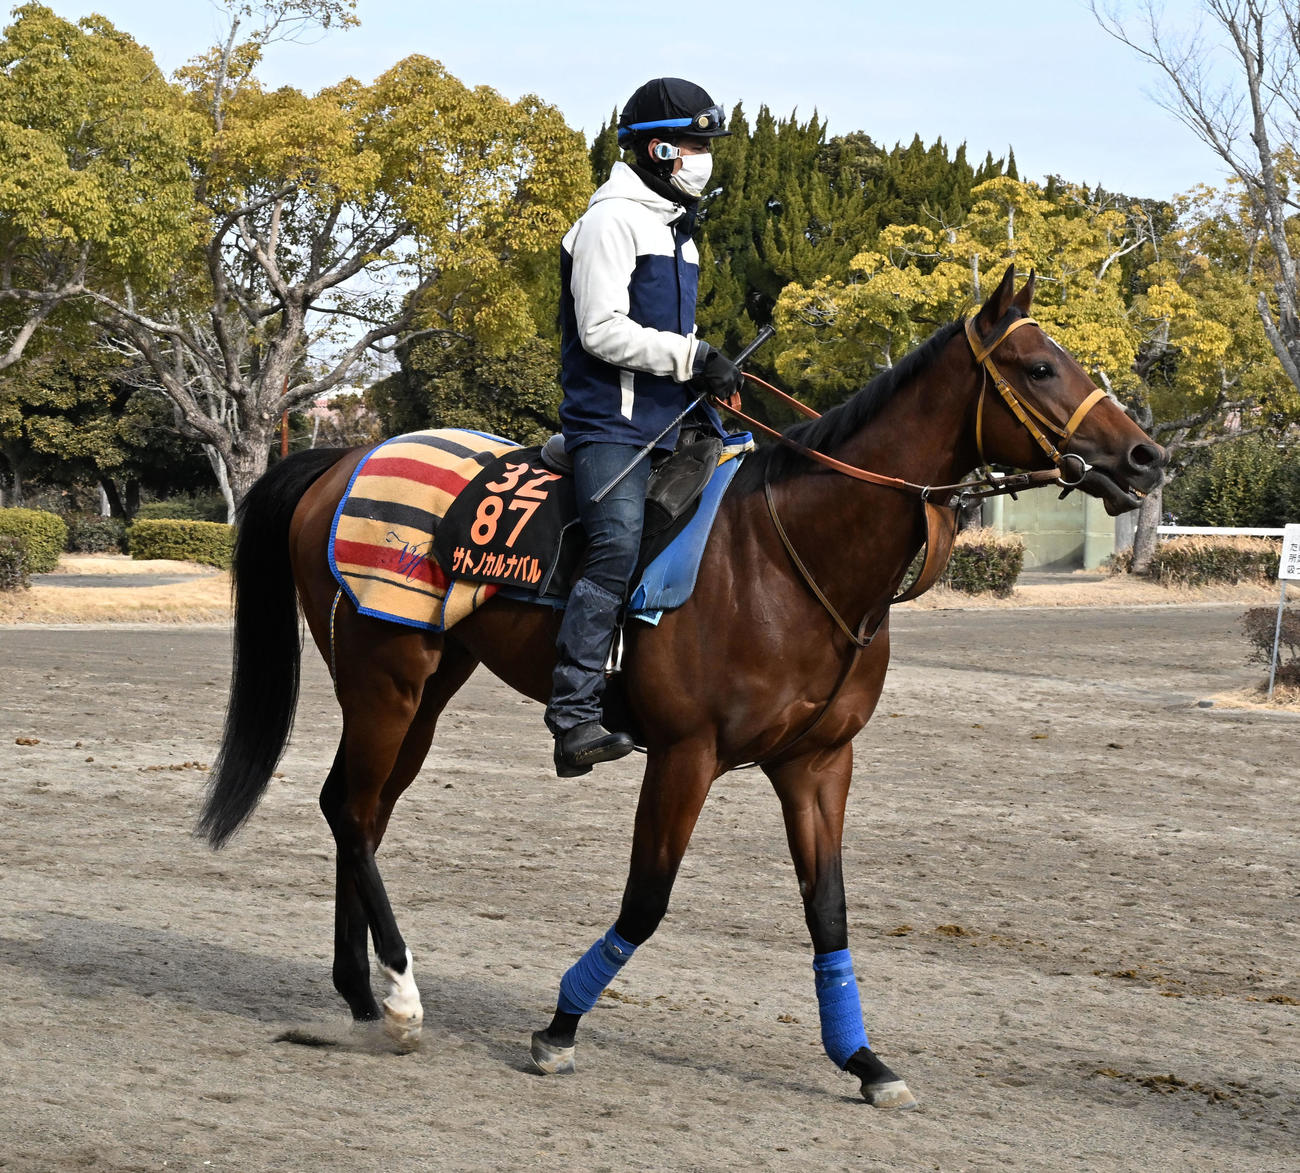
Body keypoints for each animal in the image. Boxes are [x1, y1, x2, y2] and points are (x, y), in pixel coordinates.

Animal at [198, 265, 1165, 1108]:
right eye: (1040, 366)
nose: (1147, 455)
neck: (788, 554)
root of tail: (342, 457)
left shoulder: (819, 764)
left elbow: (829, 913)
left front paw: (863, 1058)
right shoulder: (684, 755)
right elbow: (648, 899)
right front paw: (560, 1025)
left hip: (429, 688)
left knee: (354, 811)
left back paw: (361, 996)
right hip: (386, 678)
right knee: (355, 813)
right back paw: (400, 998)